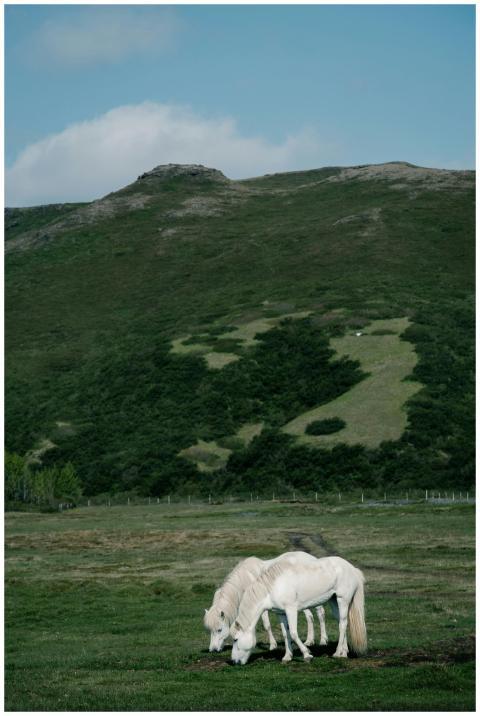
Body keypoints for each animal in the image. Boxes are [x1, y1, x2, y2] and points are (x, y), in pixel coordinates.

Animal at [230, 555, 366, 665]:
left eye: (235, 639)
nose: (234, 661)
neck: (274, 587)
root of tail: (352, 569)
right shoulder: (281, 614)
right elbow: (286, 634)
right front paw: (287, 657)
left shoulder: (291, 610)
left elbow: (294, 633)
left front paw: (307, 654)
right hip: (334, 601)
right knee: (341, 623)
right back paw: (344, 651)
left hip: (343, 600)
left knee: (343, 624)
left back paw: (338, 653)